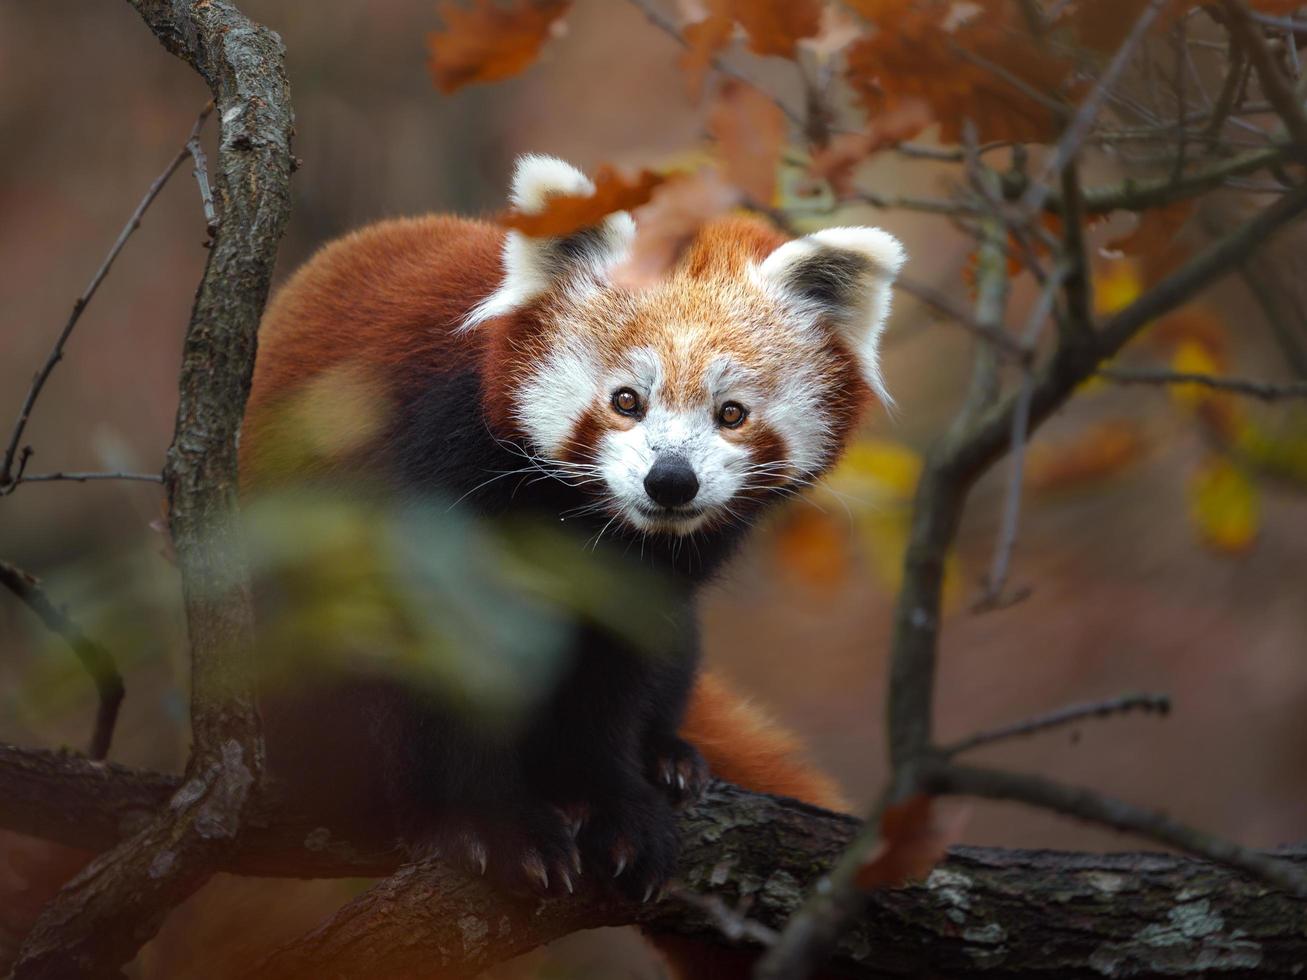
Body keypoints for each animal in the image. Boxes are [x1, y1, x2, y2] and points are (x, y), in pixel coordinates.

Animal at [240, 155, 904, 977]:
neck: (584, 525)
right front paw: (491, 825)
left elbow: (610, 682)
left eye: (731, 414)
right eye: (626, 401)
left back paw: (668, 755)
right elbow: (436, 668)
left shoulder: (641, 580)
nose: (671, 481)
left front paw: (616, 807)